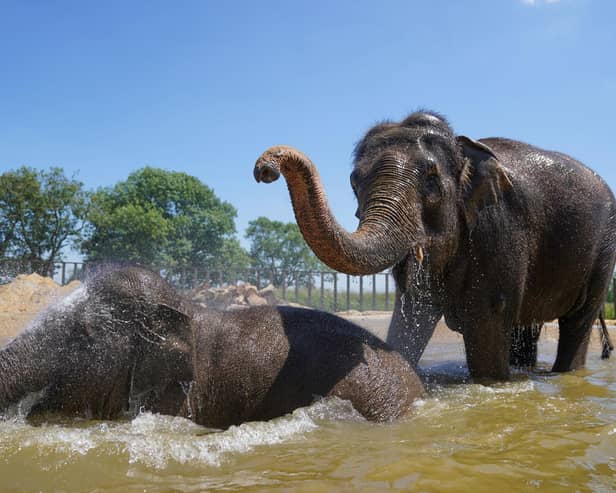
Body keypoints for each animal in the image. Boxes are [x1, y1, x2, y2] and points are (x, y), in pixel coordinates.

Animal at [255, 110, 616, 380]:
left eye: (431, 181)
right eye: (355, 181)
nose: (263, 169)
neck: (463, 149)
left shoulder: (499, 227)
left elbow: (488, 319)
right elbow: (412, 314)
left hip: (603, 250)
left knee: (577, 322)